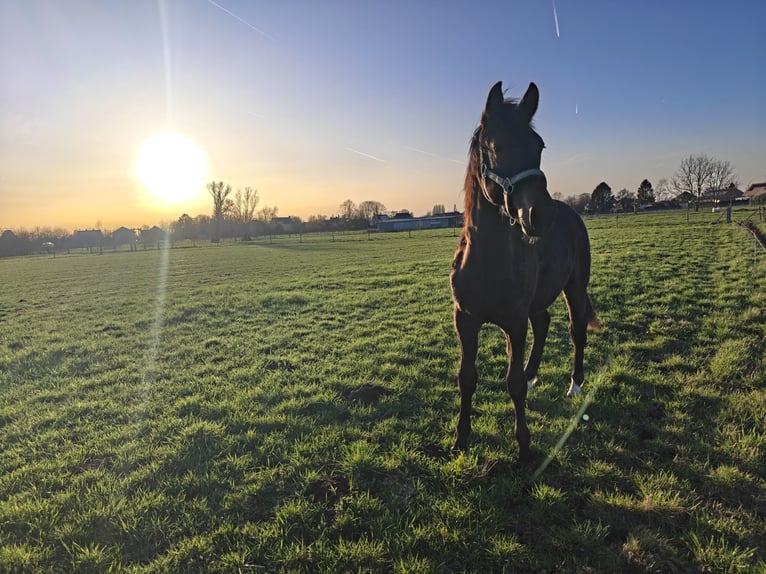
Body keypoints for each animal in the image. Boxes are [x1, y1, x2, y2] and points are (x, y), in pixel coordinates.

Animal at [450, 81, 600, 461]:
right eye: (495, 146)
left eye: (539, 146)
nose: (539, 215)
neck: (486, 261)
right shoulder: (465, 321)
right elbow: (466, 377)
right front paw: (461, 439)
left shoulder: (514, 323)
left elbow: (512, 382)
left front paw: (524, 446)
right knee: (543, 323)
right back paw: (535, 376)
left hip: (575, 288)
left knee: (577, 331)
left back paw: (575, 385)